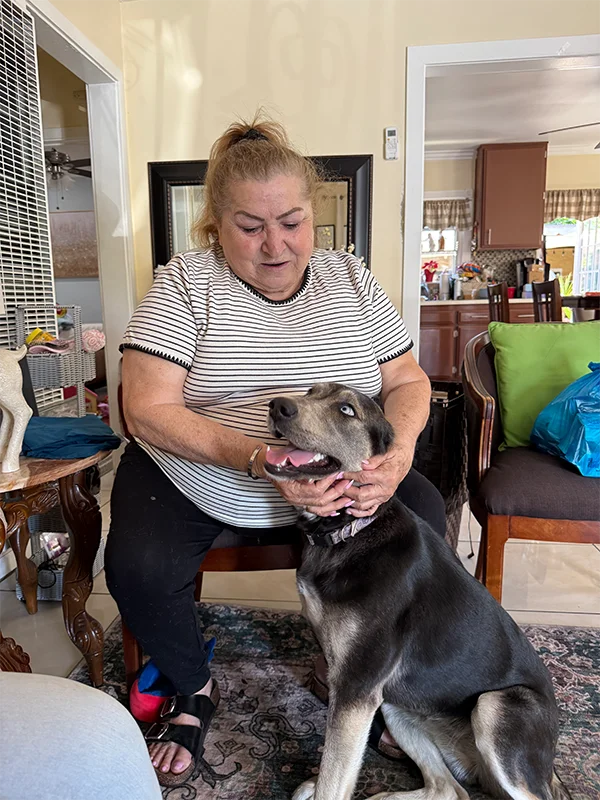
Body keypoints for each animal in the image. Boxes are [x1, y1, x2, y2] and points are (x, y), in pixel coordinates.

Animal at [265, 383, 568, 800]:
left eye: (347, 410)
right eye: (311, 391)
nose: (277, 406)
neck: (351, 531)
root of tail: (551, 767)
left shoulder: (357, 688)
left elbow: (333, 780)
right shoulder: (359, 687)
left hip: (495, 707)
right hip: (397, 703)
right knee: (449, 790)